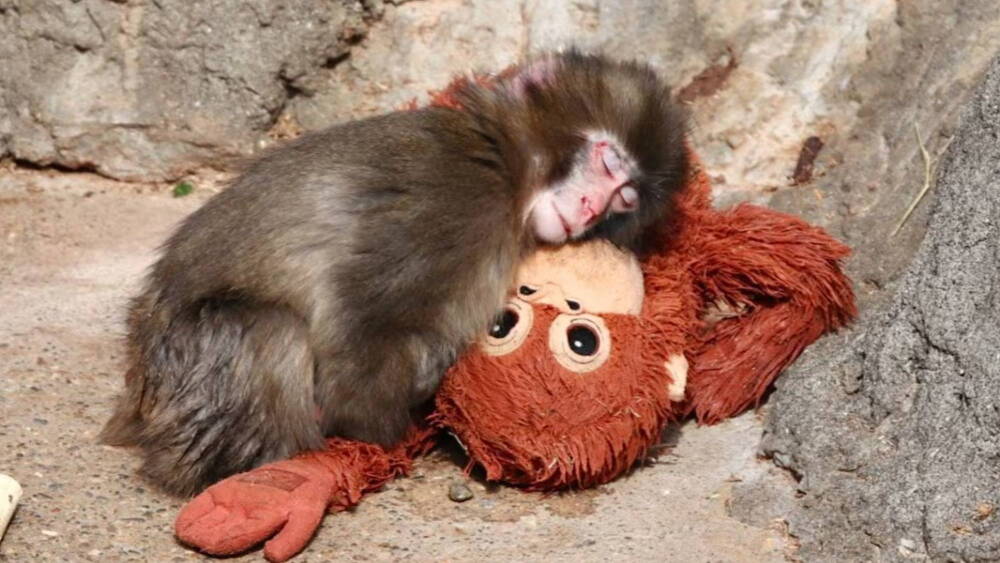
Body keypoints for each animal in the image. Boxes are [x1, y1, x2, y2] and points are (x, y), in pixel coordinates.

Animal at [100, 50, 689, 497]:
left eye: (623, 199)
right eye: (607, 163)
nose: (591, 208)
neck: (507, 164)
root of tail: (137, 391)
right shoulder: (453, 203)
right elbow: (364, 327)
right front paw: (386, 432)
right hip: (188, 380)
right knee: (270, 330)